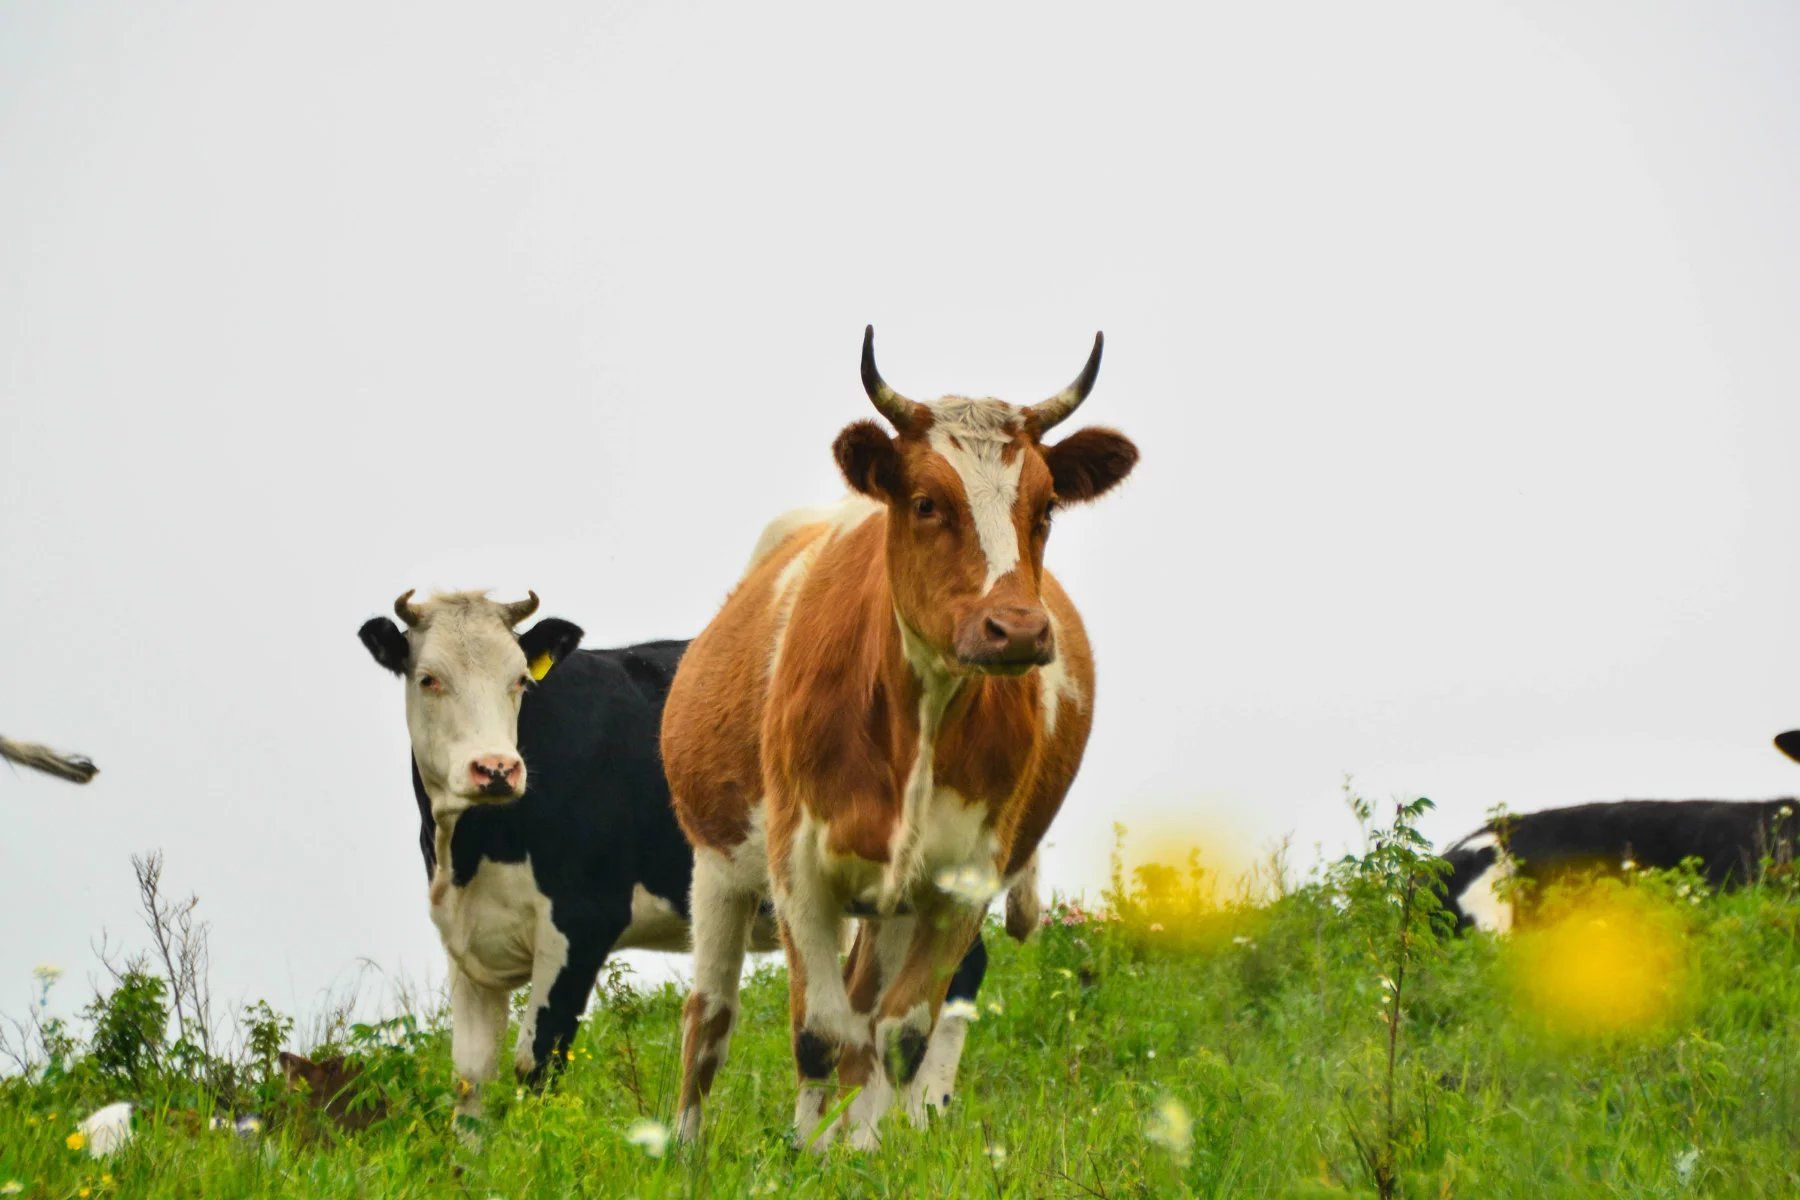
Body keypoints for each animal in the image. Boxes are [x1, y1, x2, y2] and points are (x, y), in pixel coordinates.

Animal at [358, 590, 1008, 1129]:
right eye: (428, 679)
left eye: (519, 679)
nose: (495, 768)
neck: (471, 850)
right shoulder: (466, 935)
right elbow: (470, 1080)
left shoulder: (582, 921)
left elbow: (537, 1062)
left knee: (960, 973)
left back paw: (925, 1116)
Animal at [662, 325, 1137, 1144]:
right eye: (924, 502)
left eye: (1045, 507)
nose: (1017, 629)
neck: (915, 716)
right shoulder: (799, 868)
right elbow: (817, 1034)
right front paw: (804, 1153)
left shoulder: (964, 878)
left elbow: (897, 1038)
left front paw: (864, 1152)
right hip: (716, 863)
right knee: (710, 1019)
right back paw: (689, 1148)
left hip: (895, 902)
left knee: (865, 1016)